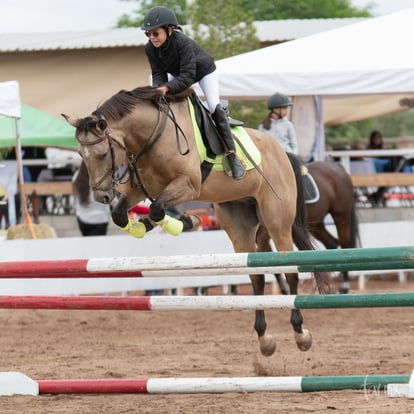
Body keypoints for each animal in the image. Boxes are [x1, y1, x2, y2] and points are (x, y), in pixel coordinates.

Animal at [63, 86, 330, 356]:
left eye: (102, 154)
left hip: (277, 222)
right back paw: (264, 338)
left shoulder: (189, 185)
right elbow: (122, 214)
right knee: (256, 275)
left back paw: (300, 333)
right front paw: (145, 226)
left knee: (290, 271)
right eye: (80, 154)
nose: (102, 197)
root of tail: (283, 153)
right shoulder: (140, 188)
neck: (150, 136)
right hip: (239, 222)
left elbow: (158, 209)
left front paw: (184, 222)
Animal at [256, 158, 360, 294]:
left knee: (345, 247)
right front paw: (284, 290)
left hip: (341, 216)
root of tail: (337, 167)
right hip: (316, 224)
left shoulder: (266, 232)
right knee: (331, 243)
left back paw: (344, 286)